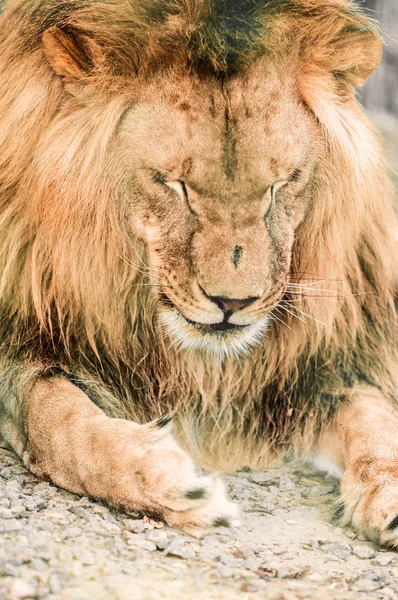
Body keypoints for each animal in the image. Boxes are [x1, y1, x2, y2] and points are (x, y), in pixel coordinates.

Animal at [0, 0, 398, 544]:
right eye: (174, 184)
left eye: (280, 185)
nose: (233, 304)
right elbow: (60, 424)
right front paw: (169, 481)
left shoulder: (306, 374)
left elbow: (373, 415)